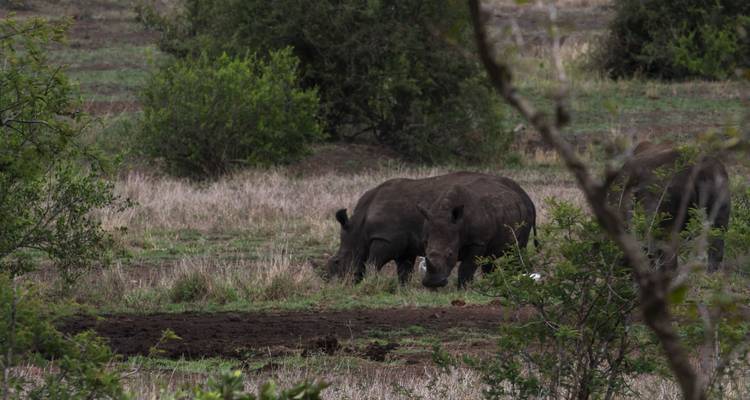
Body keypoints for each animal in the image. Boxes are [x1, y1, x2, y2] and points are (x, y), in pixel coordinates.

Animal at [327, 172, 497, 283]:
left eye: (337, 262)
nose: (332, 283)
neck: (359, 228)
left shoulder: (385, 238)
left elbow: (373, 263)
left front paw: (370, 282)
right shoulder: (404, 246)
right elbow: (404, 270)